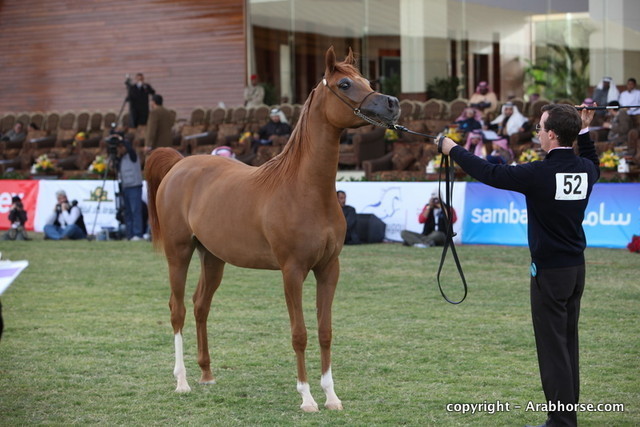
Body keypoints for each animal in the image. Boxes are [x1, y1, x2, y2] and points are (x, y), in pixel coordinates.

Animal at [144, 46, 400, 412]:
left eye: (367, 80)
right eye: (345, 84)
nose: (392, 103)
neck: (304, 189)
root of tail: (180, 164)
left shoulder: (329, 269)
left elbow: (325, 331)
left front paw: (331, 396)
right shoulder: (292, 271)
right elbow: (299, 333)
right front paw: (307, 398)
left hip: (213, 257)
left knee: (200, 305)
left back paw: (207, 374)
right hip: (179, 252)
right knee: (177, 309)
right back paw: (182, 382)